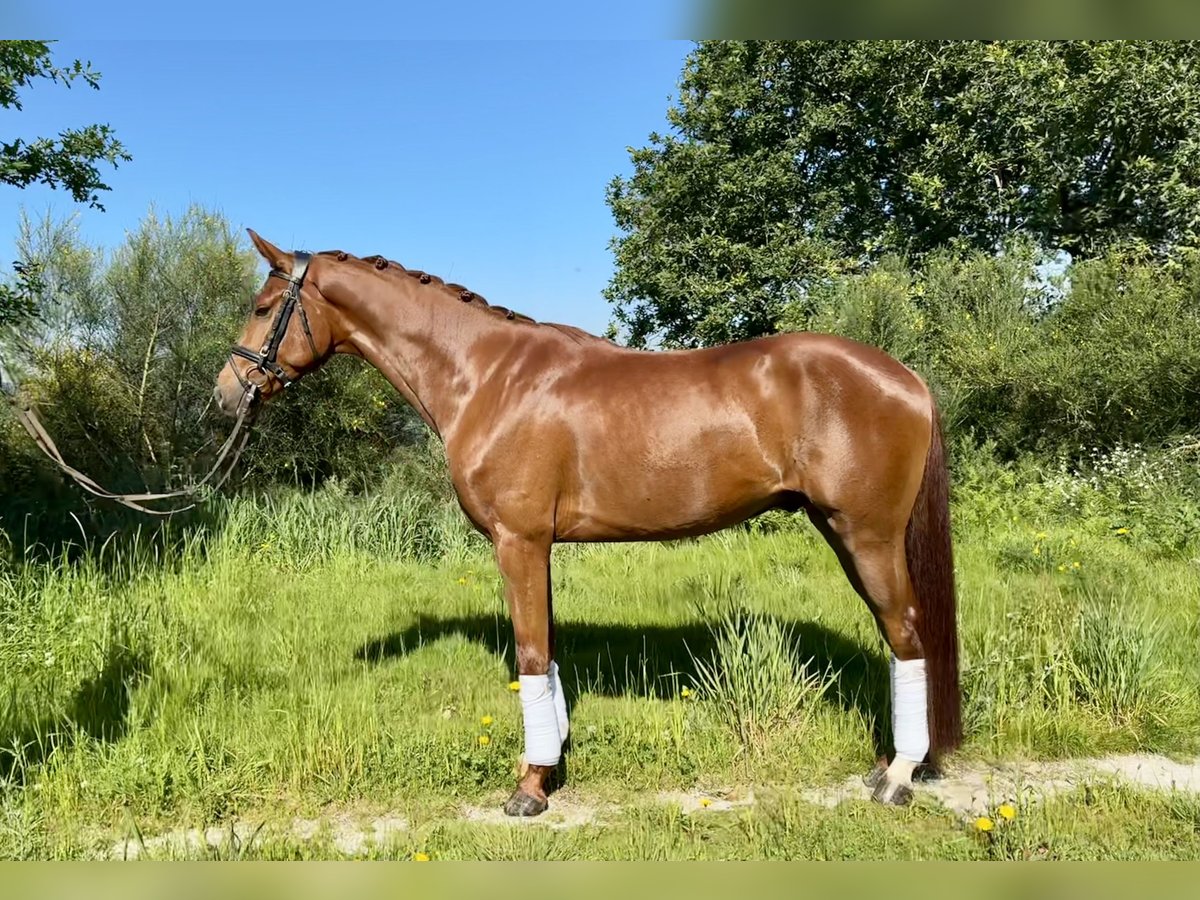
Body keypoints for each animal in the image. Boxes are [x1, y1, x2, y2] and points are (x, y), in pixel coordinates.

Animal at [216, 232, 960, 816]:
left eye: (262, 309)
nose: (226, 392)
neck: (487, 377)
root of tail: (907, 378)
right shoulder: (536, 546)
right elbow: (546, 650)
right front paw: (553, 762)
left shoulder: (517, 542)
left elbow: (529, 654)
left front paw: (528, 788)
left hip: (865, 535)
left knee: (906, 634)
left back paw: (897, 777)